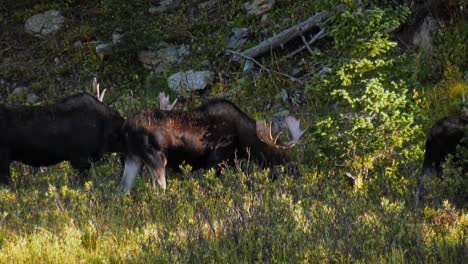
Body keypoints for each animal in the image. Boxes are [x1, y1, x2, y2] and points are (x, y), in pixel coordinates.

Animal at [119, 96, 306, 192]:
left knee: (123, 188)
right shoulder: (215, 162)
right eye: (277, 154)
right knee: (159, 188)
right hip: (157, 160)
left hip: (133, 158)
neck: (243, 141)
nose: (296, 171)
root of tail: (126, 126)